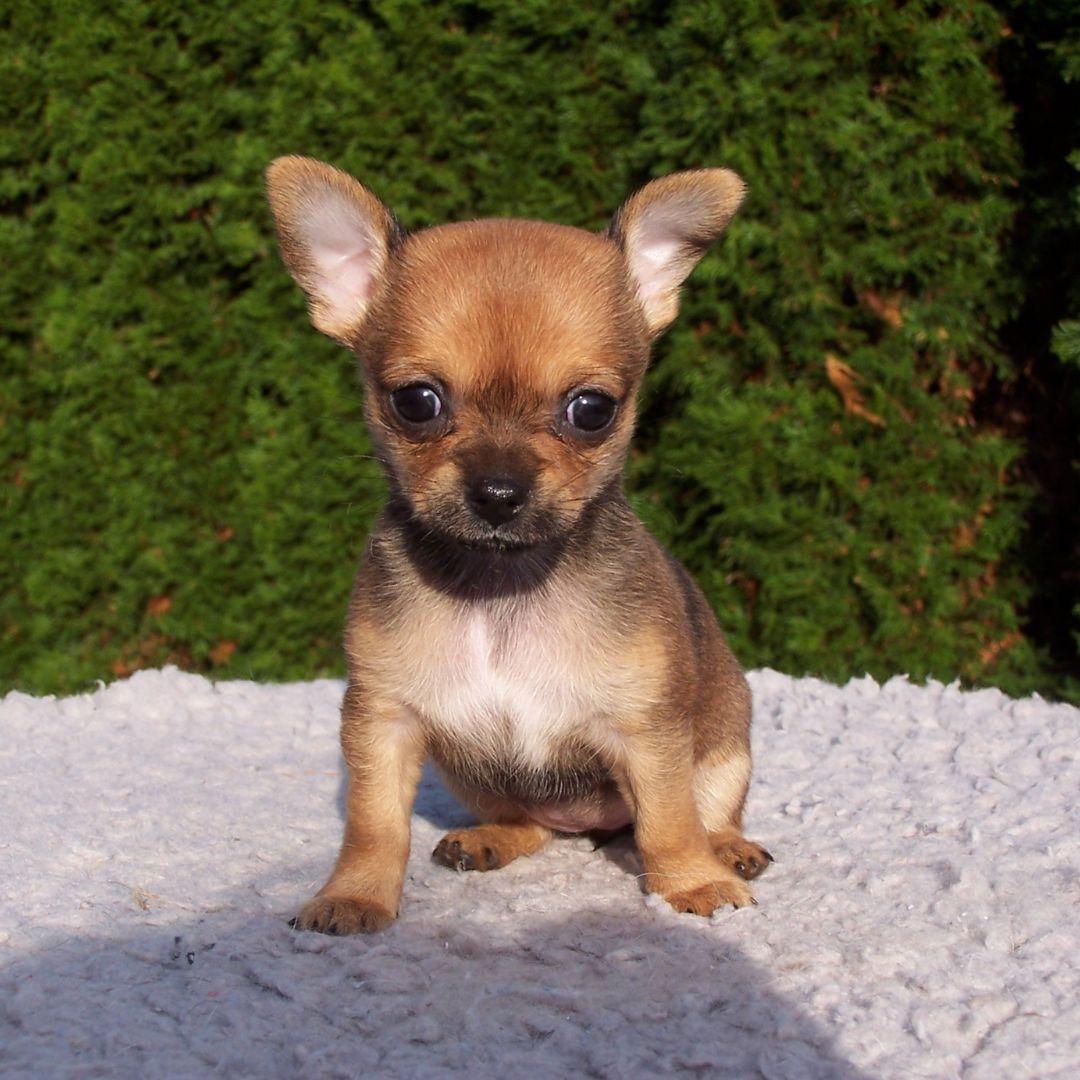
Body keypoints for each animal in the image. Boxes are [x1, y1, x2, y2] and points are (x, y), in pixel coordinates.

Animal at [265, 156, 773, 933]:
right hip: (472, 772)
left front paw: (691, 882)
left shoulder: (649, 733)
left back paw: (728, 851)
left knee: (702, 814)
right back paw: (491, 839)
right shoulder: (384, 721)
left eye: (591, 410)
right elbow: (374, 825)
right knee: (528, 822)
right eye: (416, 402)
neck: (501, 583)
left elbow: (668, 820)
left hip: (725, 750)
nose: (498, 492)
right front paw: (353, 895)